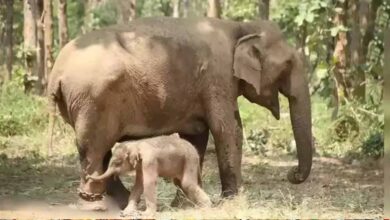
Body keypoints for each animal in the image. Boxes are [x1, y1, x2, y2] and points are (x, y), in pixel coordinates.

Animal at [47, 16, 312, 209]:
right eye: (288, 65)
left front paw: (185, 203)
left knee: (101, 150)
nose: (293, 174)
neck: (240, 26)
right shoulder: (218, 76)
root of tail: (56, 73)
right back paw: (94, 202)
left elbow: (196, 137)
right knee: (94, 147)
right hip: (92, 100)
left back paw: (122, 202)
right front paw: (232, 202)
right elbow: (228, 129)